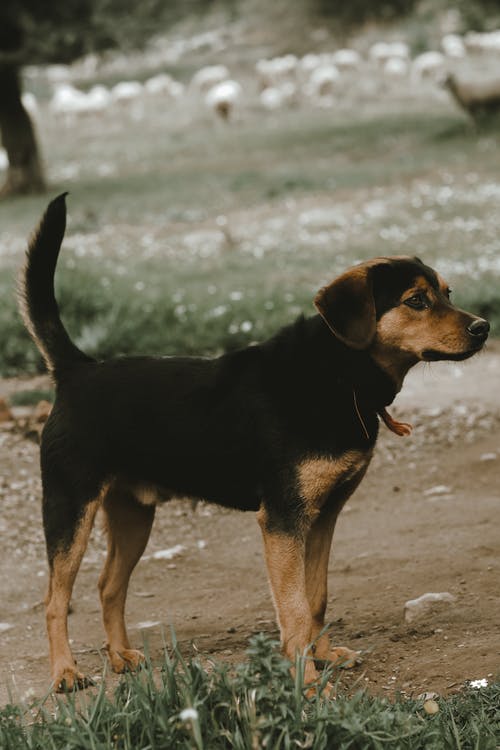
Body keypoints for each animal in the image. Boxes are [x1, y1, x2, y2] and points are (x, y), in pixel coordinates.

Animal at [18, 195, 488, 692]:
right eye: (416, 301)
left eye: (448, 293)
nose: (483, 327)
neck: (339, 375)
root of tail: (76, 370)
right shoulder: (283, 520)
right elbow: (295, 609)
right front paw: (306, 682)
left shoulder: (324, 516)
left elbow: (316, 597)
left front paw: (323, 656)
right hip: (70, 509)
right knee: (55, 600)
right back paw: (65, 672)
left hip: (132, 515)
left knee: (108, 586)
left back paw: (120, 656)